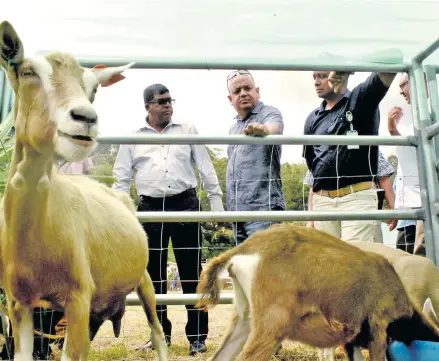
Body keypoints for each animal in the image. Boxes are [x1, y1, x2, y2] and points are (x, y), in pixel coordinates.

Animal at [0, 21, 168, 360]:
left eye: (93, 89)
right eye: (27, 71)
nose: (85, 118)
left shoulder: (77, 297)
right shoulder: (18, 301)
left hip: (143, 281)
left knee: (158, 333)